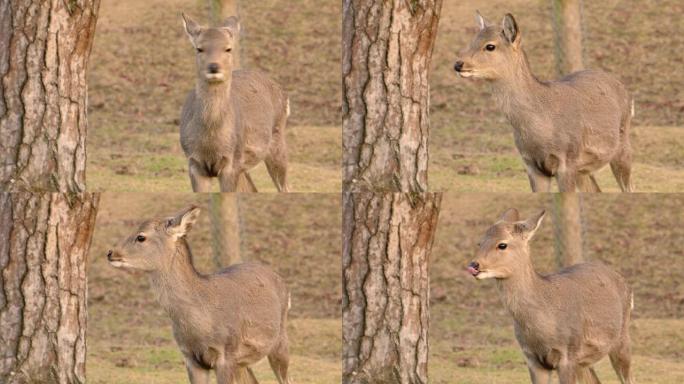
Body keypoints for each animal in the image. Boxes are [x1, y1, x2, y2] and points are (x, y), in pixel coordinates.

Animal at [106, 207, 292, 384]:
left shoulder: (226, 354)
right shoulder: (190, 358)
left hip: (280, 341)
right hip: (243, 363)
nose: (110, 253)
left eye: (141, 237)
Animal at [180, 13, 290, 194]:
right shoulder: (194, 162)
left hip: (277, 140)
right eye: (199, 48)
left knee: (285, 187)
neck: (211, 143)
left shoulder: (232, 162)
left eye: (228, 48)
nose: (214, 66)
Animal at [454, 11, 636, 192]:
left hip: (622, 145)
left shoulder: (567, 161)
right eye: (472, 41)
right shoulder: (531, 165)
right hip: (584, 170)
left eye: (490, 46)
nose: (458, 64)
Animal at [468, 208, 632, 382]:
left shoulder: (568, 355)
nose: (474, 265)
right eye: (480, 243)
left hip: (622, 339)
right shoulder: (532, 359)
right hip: (584, 362)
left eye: (502, 244)